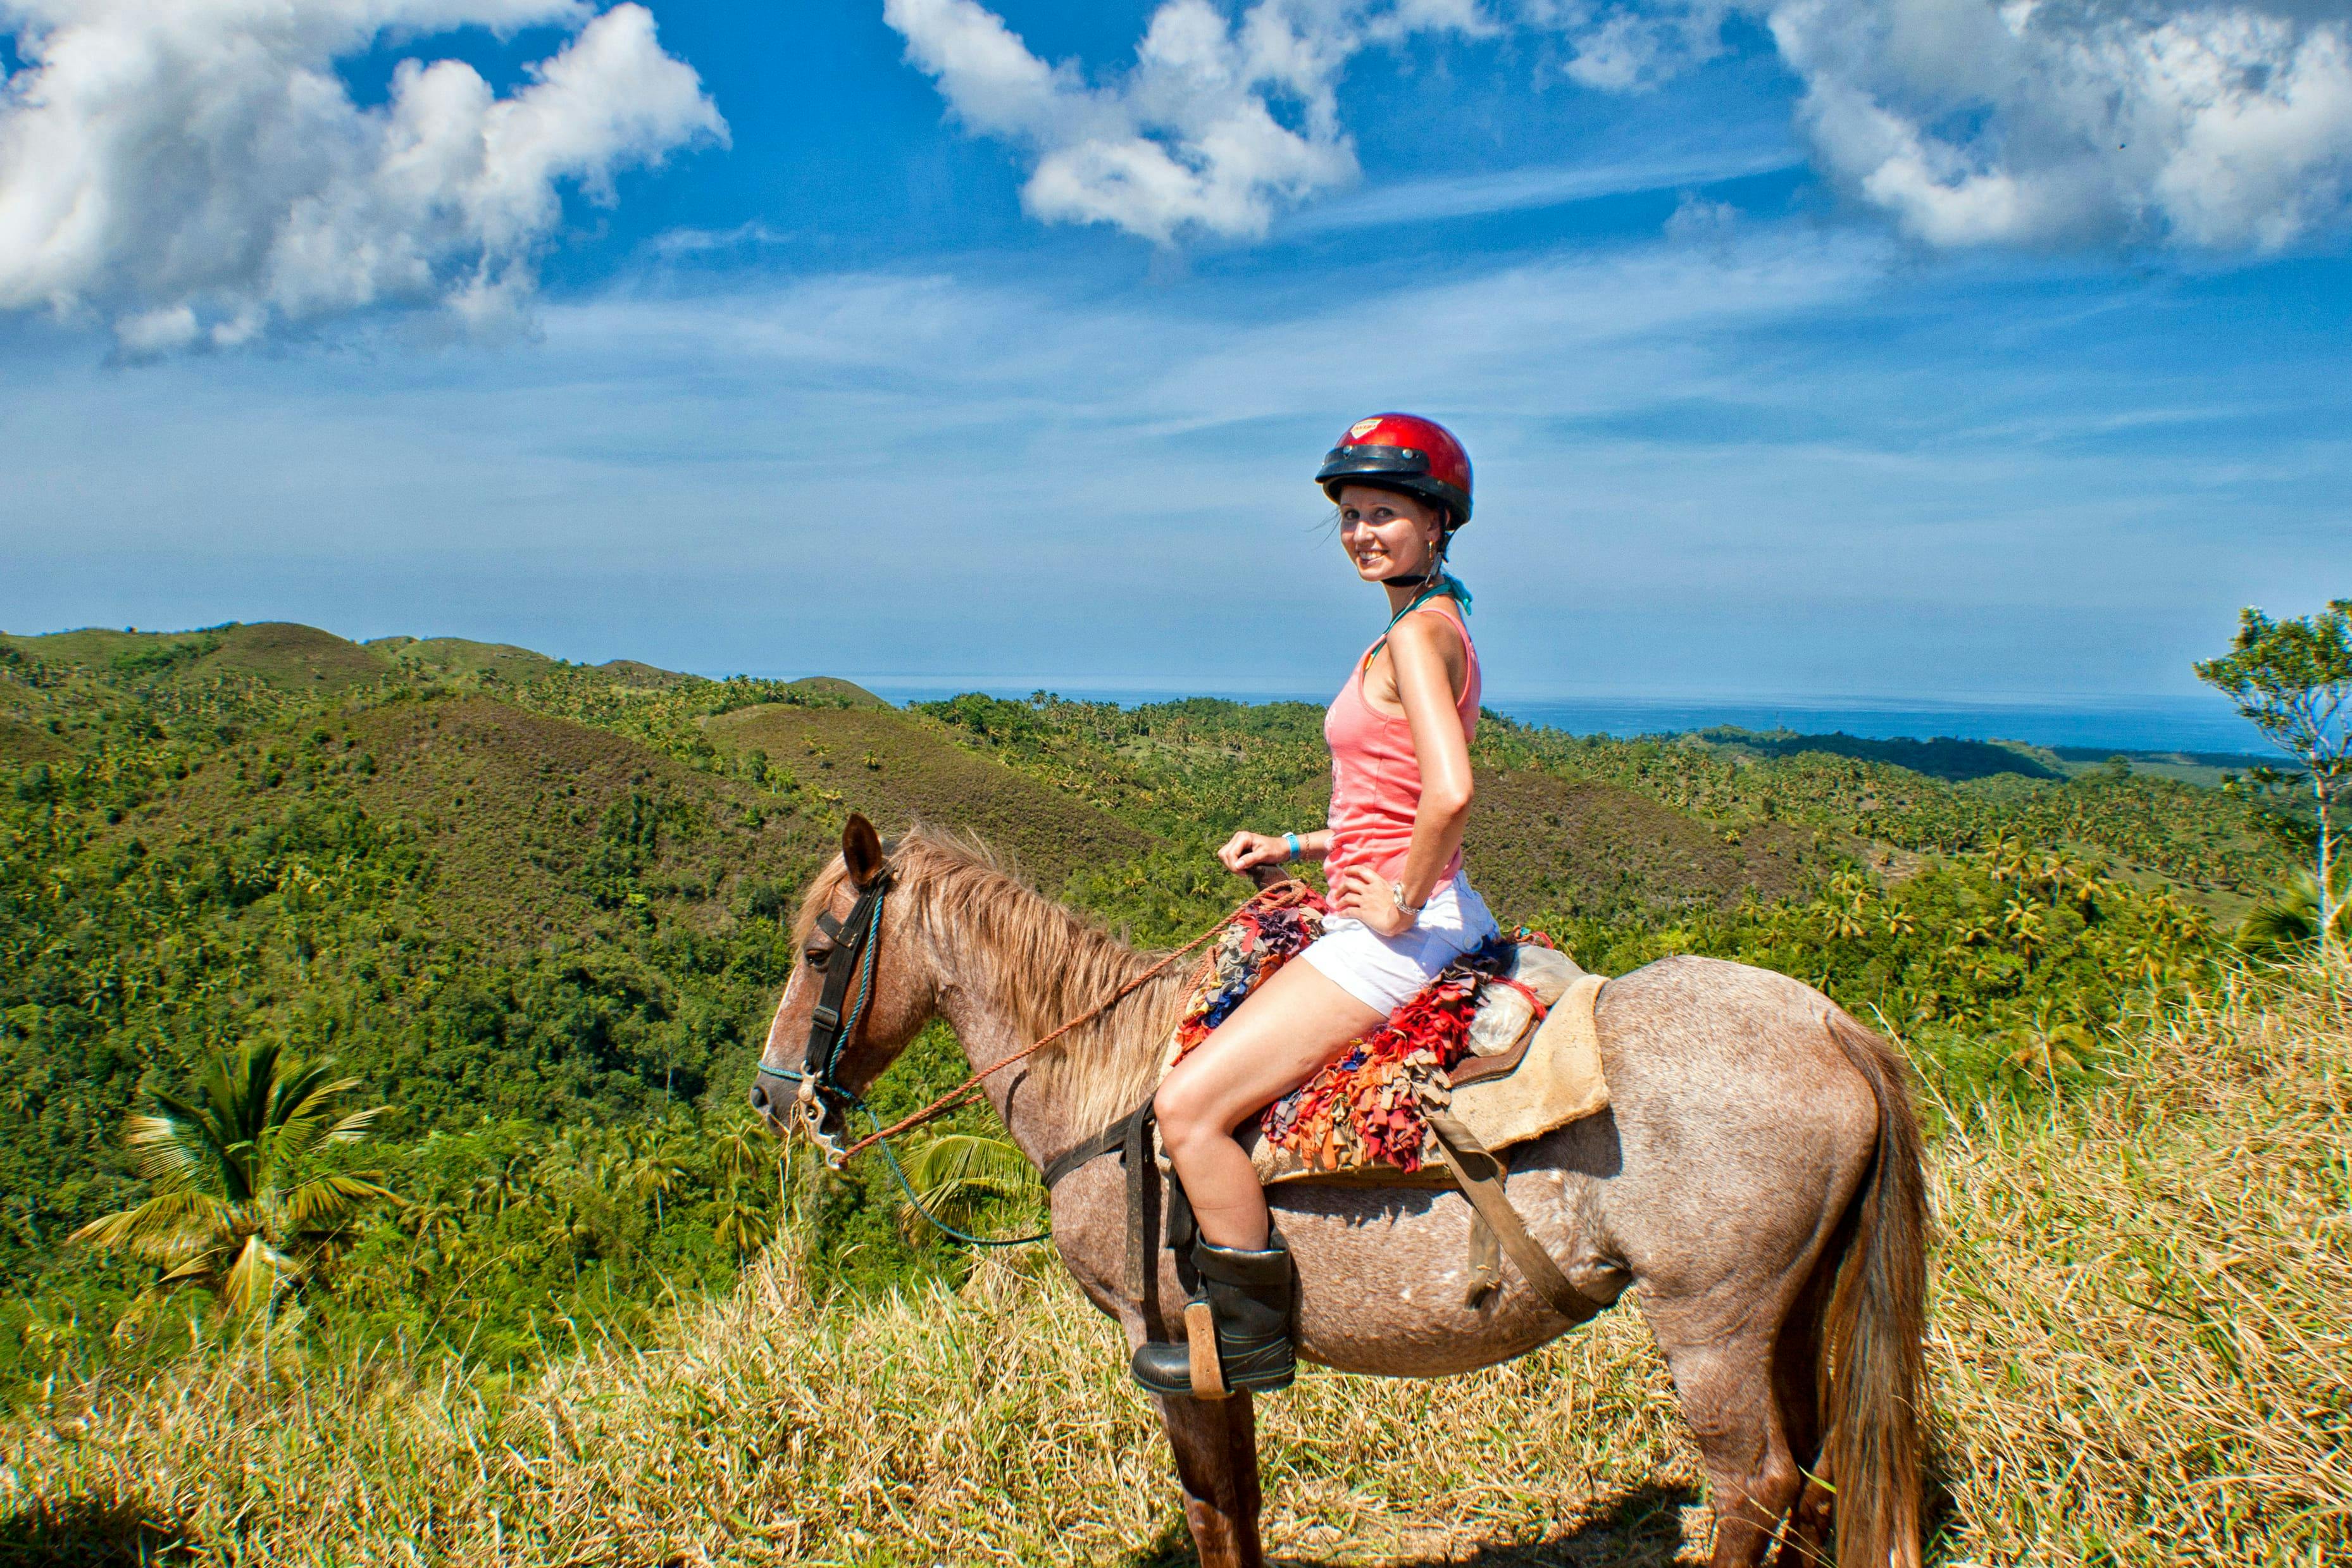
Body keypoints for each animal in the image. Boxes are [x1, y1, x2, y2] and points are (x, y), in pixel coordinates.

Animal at [752, 823, 1928, 1568]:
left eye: (816, 949)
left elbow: (1213, 1514)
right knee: (1814, 1462)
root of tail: (1831, 1025)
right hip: (1790, 1303)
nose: (774, 1096)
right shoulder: (1212, 1358)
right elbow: (1239, 1505)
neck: (1111, 1080)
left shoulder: (1166, 1342)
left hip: (1711, 1320)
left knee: (1755, 1482)